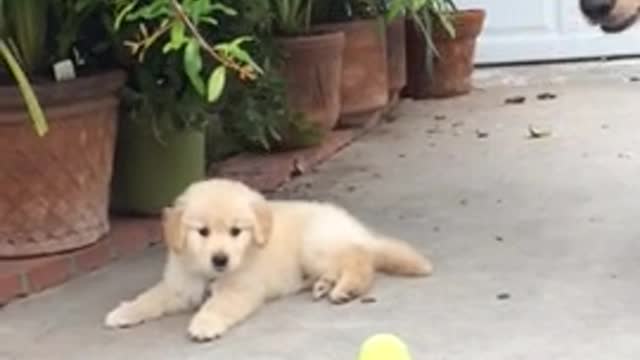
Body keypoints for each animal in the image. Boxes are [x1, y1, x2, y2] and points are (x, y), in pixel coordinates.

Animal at [105, 179, 432, 342]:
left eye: (236, 231)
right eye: (203, 231)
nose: (220, 259)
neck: (209, 275)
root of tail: (355, 227)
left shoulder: (242, 288)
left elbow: (219, 304)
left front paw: (205, 324)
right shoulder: (179, 285)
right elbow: (150, 297)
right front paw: (124, 312)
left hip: (316, 244)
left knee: (360, 260)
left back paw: (345, 288)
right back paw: (324, 285)